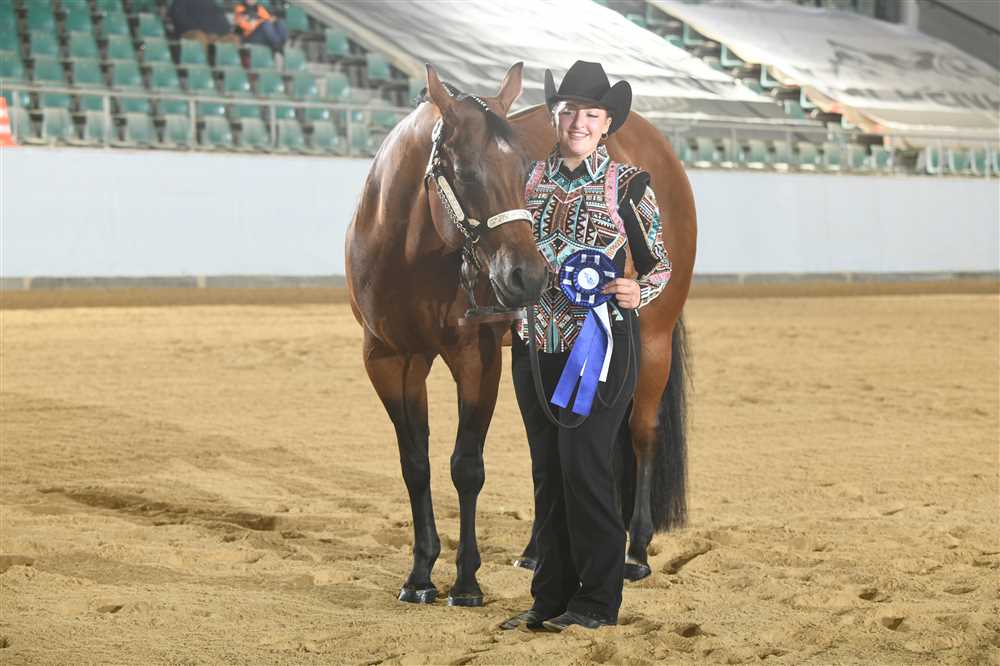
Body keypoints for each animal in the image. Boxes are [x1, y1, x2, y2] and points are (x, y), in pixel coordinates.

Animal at [346, 62, 696, 607]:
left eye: (520, 172)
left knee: (642, 434)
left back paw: (636, 552)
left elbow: (466, 466)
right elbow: (416, 464)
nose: (527, 277)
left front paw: (466, 583)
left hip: (652, 340)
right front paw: (420, 575)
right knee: (547, 451)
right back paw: (536, 551)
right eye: (467, 173)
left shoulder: (477, 357)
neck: (406, 254)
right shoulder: (389, 360)